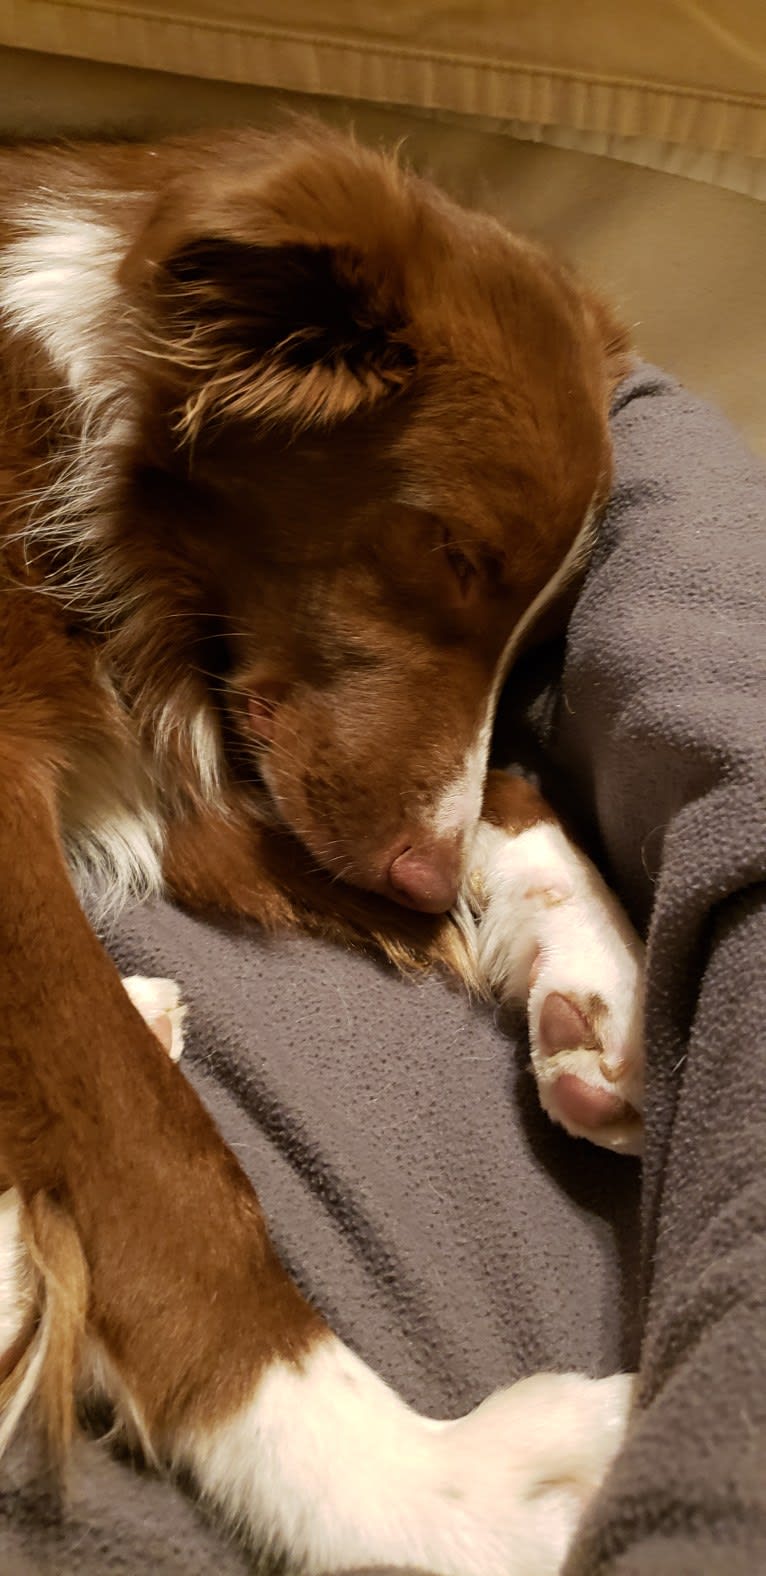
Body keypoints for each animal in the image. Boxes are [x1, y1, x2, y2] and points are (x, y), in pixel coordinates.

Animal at [0, 129, 643, 1569]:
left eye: (535, 624)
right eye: (447, 548)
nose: (421, 880)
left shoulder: (202, 726)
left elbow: (498, 775)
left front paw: (595, 985)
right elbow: (158, 1161)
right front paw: (413, 1490)